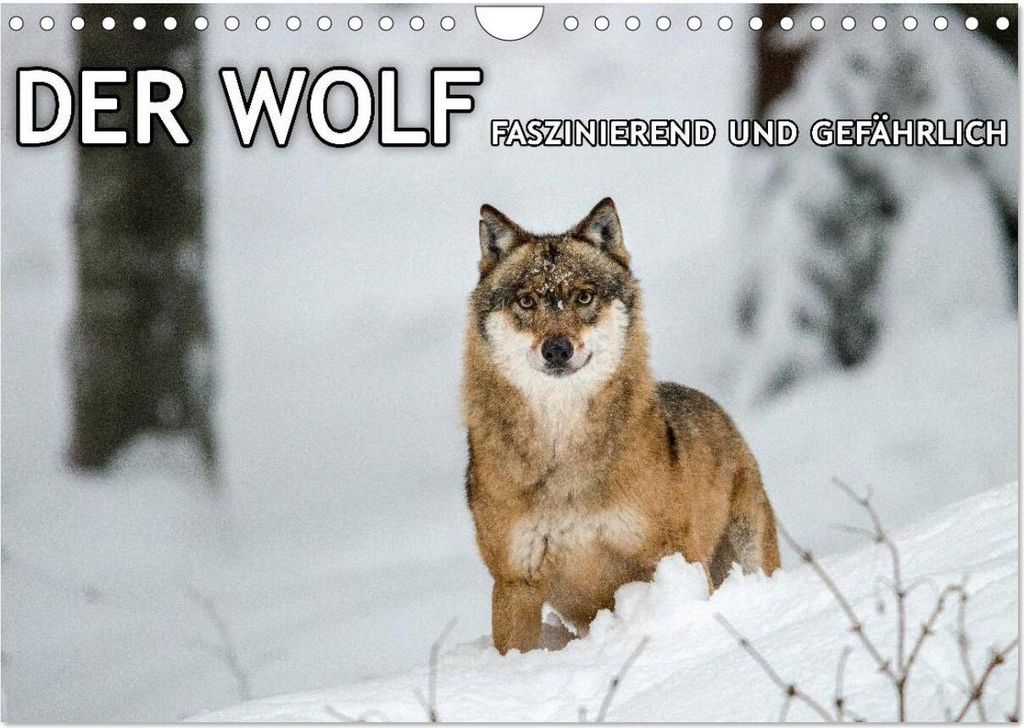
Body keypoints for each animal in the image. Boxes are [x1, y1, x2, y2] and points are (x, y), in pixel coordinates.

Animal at [462, 198, 781, 654]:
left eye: (583, 296)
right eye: (526, 301)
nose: (556, 349)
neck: (565, 455)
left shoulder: (667, 557)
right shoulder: (514, 584)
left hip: (748, 549)